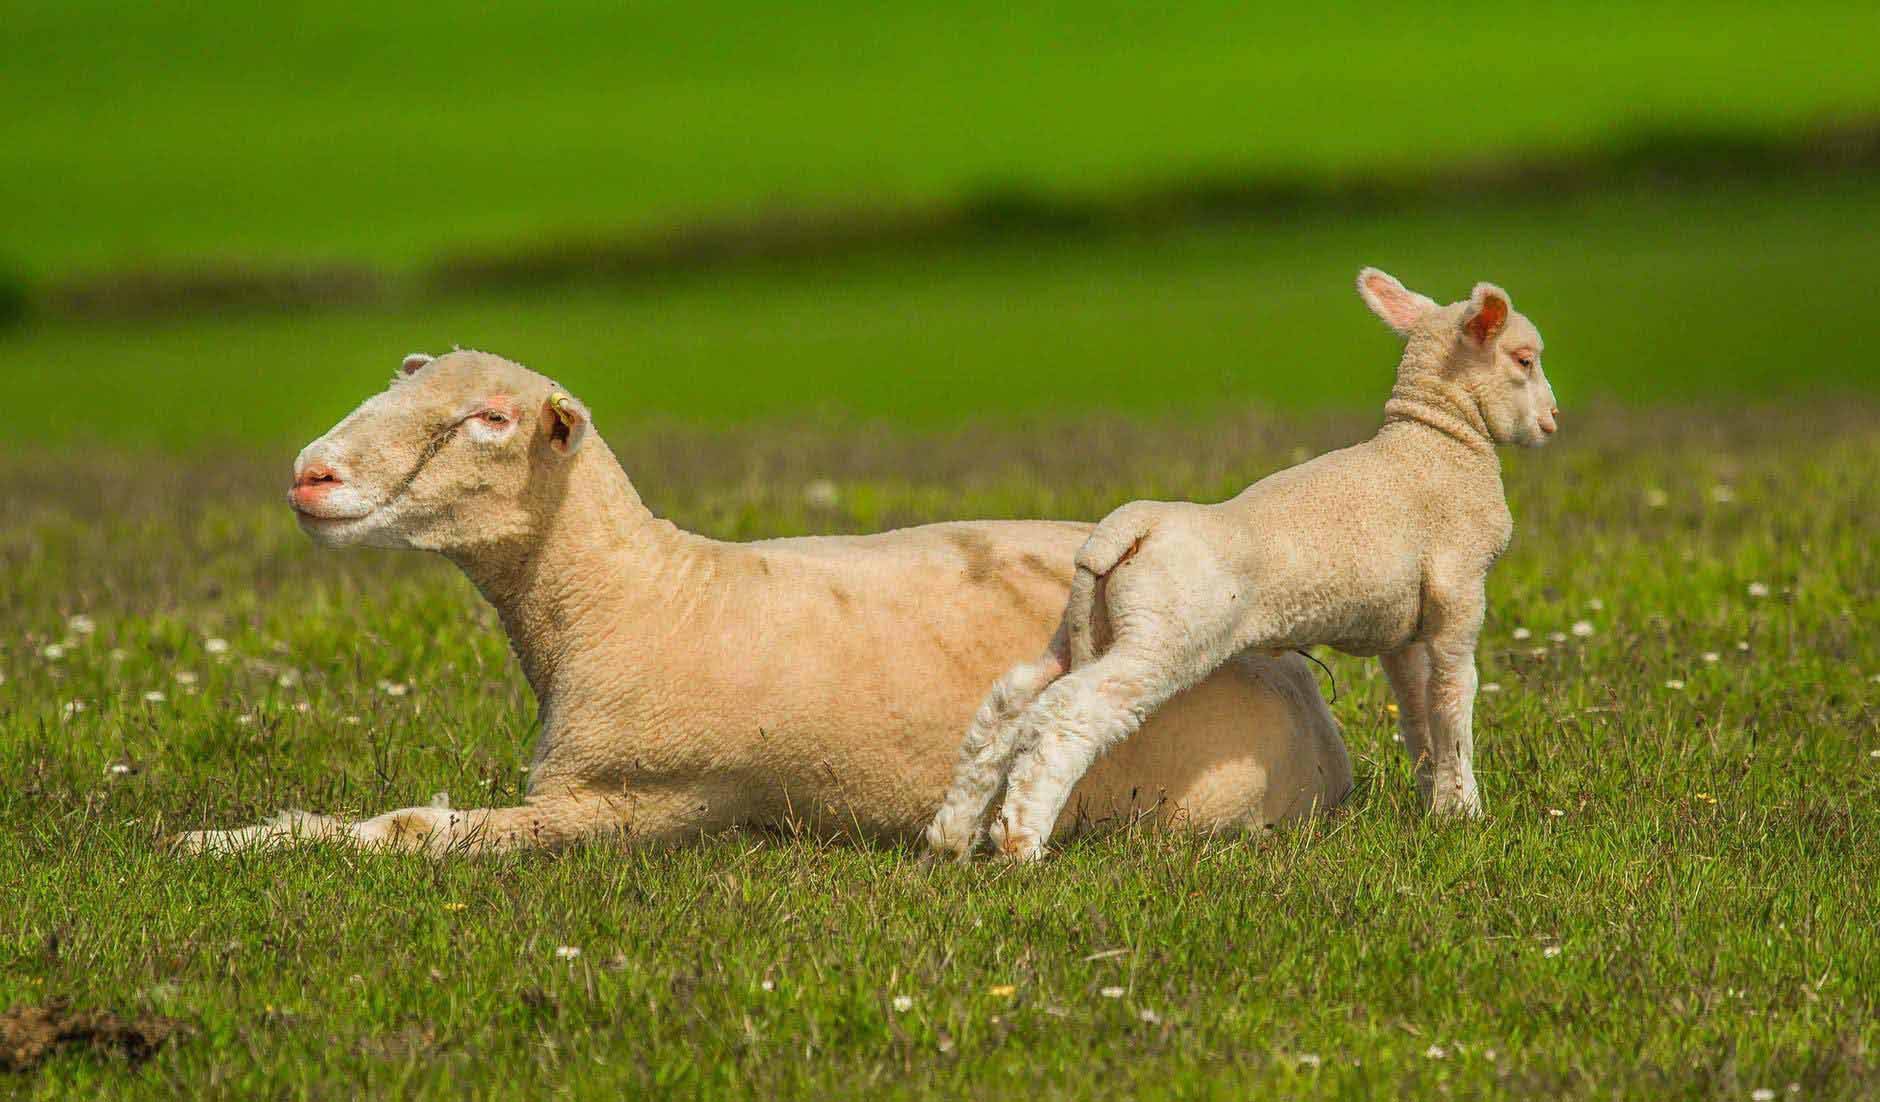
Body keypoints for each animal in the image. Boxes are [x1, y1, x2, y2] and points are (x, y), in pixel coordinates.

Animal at [171, 350, 1352, 855]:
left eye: (491, 420)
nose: (311, 475)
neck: (638, 593)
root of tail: (1314, 708)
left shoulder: (633, 806)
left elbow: (412, 829)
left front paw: (236, 843)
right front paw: (232, 834)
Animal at [926, 270, 1557, 862]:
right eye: (1524, 359)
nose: (1552, 420)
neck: (1439, 442)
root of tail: (1127, 529)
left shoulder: (1400, 630)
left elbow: (1417, 713)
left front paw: (1436, 804)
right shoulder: (1459, 591)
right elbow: (1453, 699)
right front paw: (1467, 814)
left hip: (1090, 625)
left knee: (1012, 702)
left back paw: (952, 836)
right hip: (1163, 637)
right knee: (1068, 712)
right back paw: (1022, 842)